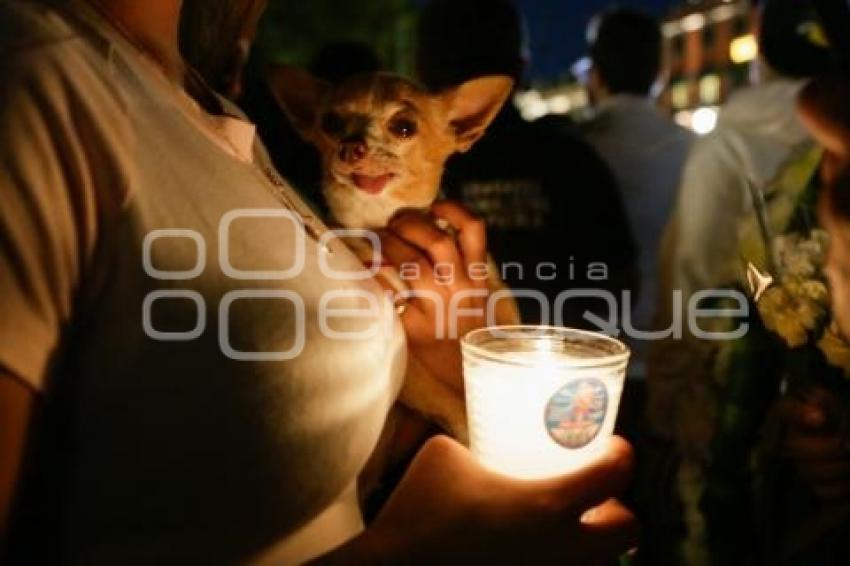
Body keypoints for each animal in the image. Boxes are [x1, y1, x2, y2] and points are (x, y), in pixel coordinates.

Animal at [266, 67, 516, 444]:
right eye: (330, 122)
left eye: (404, 127)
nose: (350, 147)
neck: (381, 218)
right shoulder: (408, 365)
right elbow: (447, 403)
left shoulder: (495, 289)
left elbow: (506, 324)